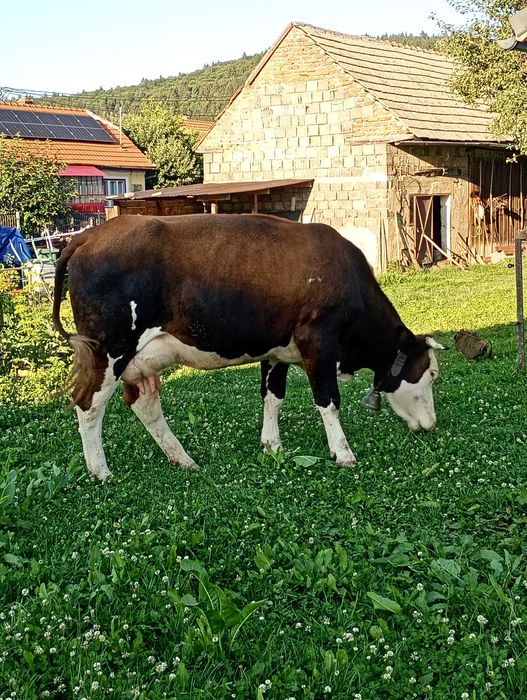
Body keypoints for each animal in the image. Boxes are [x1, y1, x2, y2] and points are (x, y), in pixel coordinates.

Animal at [52, 214, 444, 481]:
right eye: (431, 374)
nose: (432, 424)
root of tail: (87, 236)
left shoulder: (278, 351)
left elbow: (273, 396)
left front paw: (272, 445)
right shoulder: (318, 341)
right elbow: (328, 401)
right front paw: (342, 452)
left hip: (140, 360)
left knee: (144, 405)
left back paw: (183, 459)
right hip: (107, 350)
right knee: (88, 404)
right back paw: (101, 470)